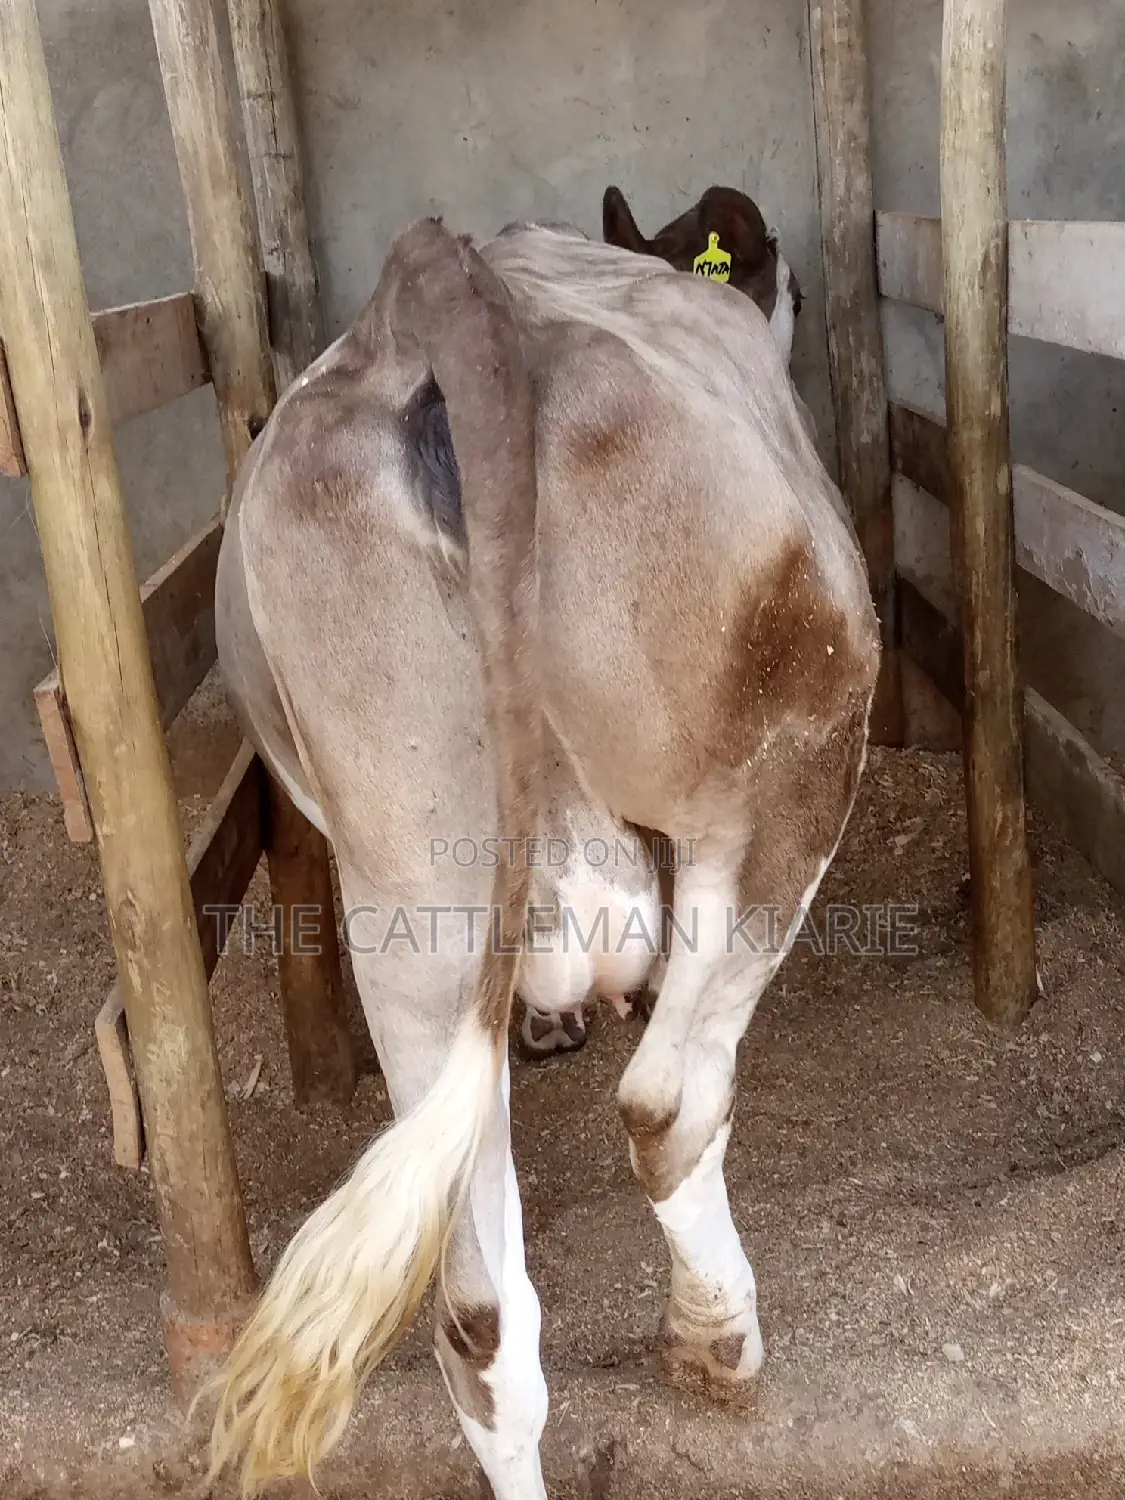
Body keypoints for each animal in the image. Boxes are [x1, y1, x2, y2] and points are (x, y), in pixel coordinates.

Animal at [205, 214, 879, 1500]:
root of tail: (434, 282)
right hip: (783, 771)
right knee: (670, 1100)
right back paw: (720, 1338)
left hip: (413, 898)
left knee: (479, 1318)